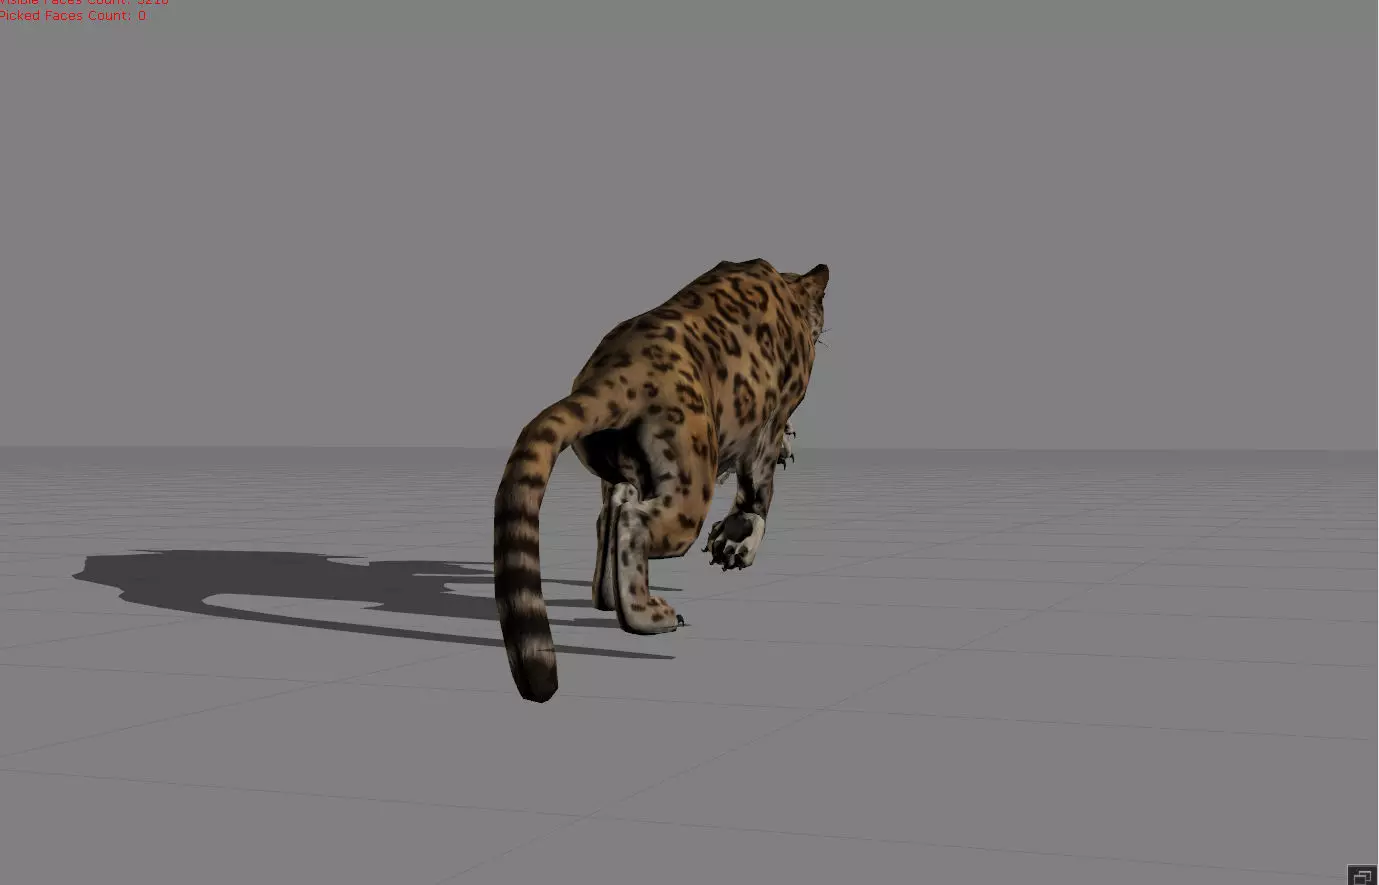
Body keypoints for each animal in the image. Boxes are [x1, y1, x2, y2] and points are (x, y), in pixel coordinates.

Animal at [493, 258, 830, 703]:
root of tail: (617, 368)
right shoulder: (766, 429)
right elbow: (756, 493)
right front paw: (737, 541)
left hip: (624, 469)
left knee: (613, 510)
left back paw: (609, 599)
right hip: (689, 489)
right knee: (633, 521)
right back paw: (650, 616)